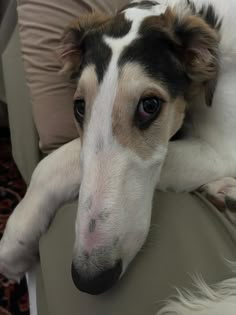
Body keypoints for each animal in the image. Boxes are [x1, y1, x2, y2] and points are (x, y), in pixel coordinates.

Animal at [0, 0, 236, 314]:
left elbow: (56, 161)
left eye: (150, 105)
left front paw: (13, 244)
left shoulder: (222, 151)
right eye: (79, 107)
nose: (90, 278)